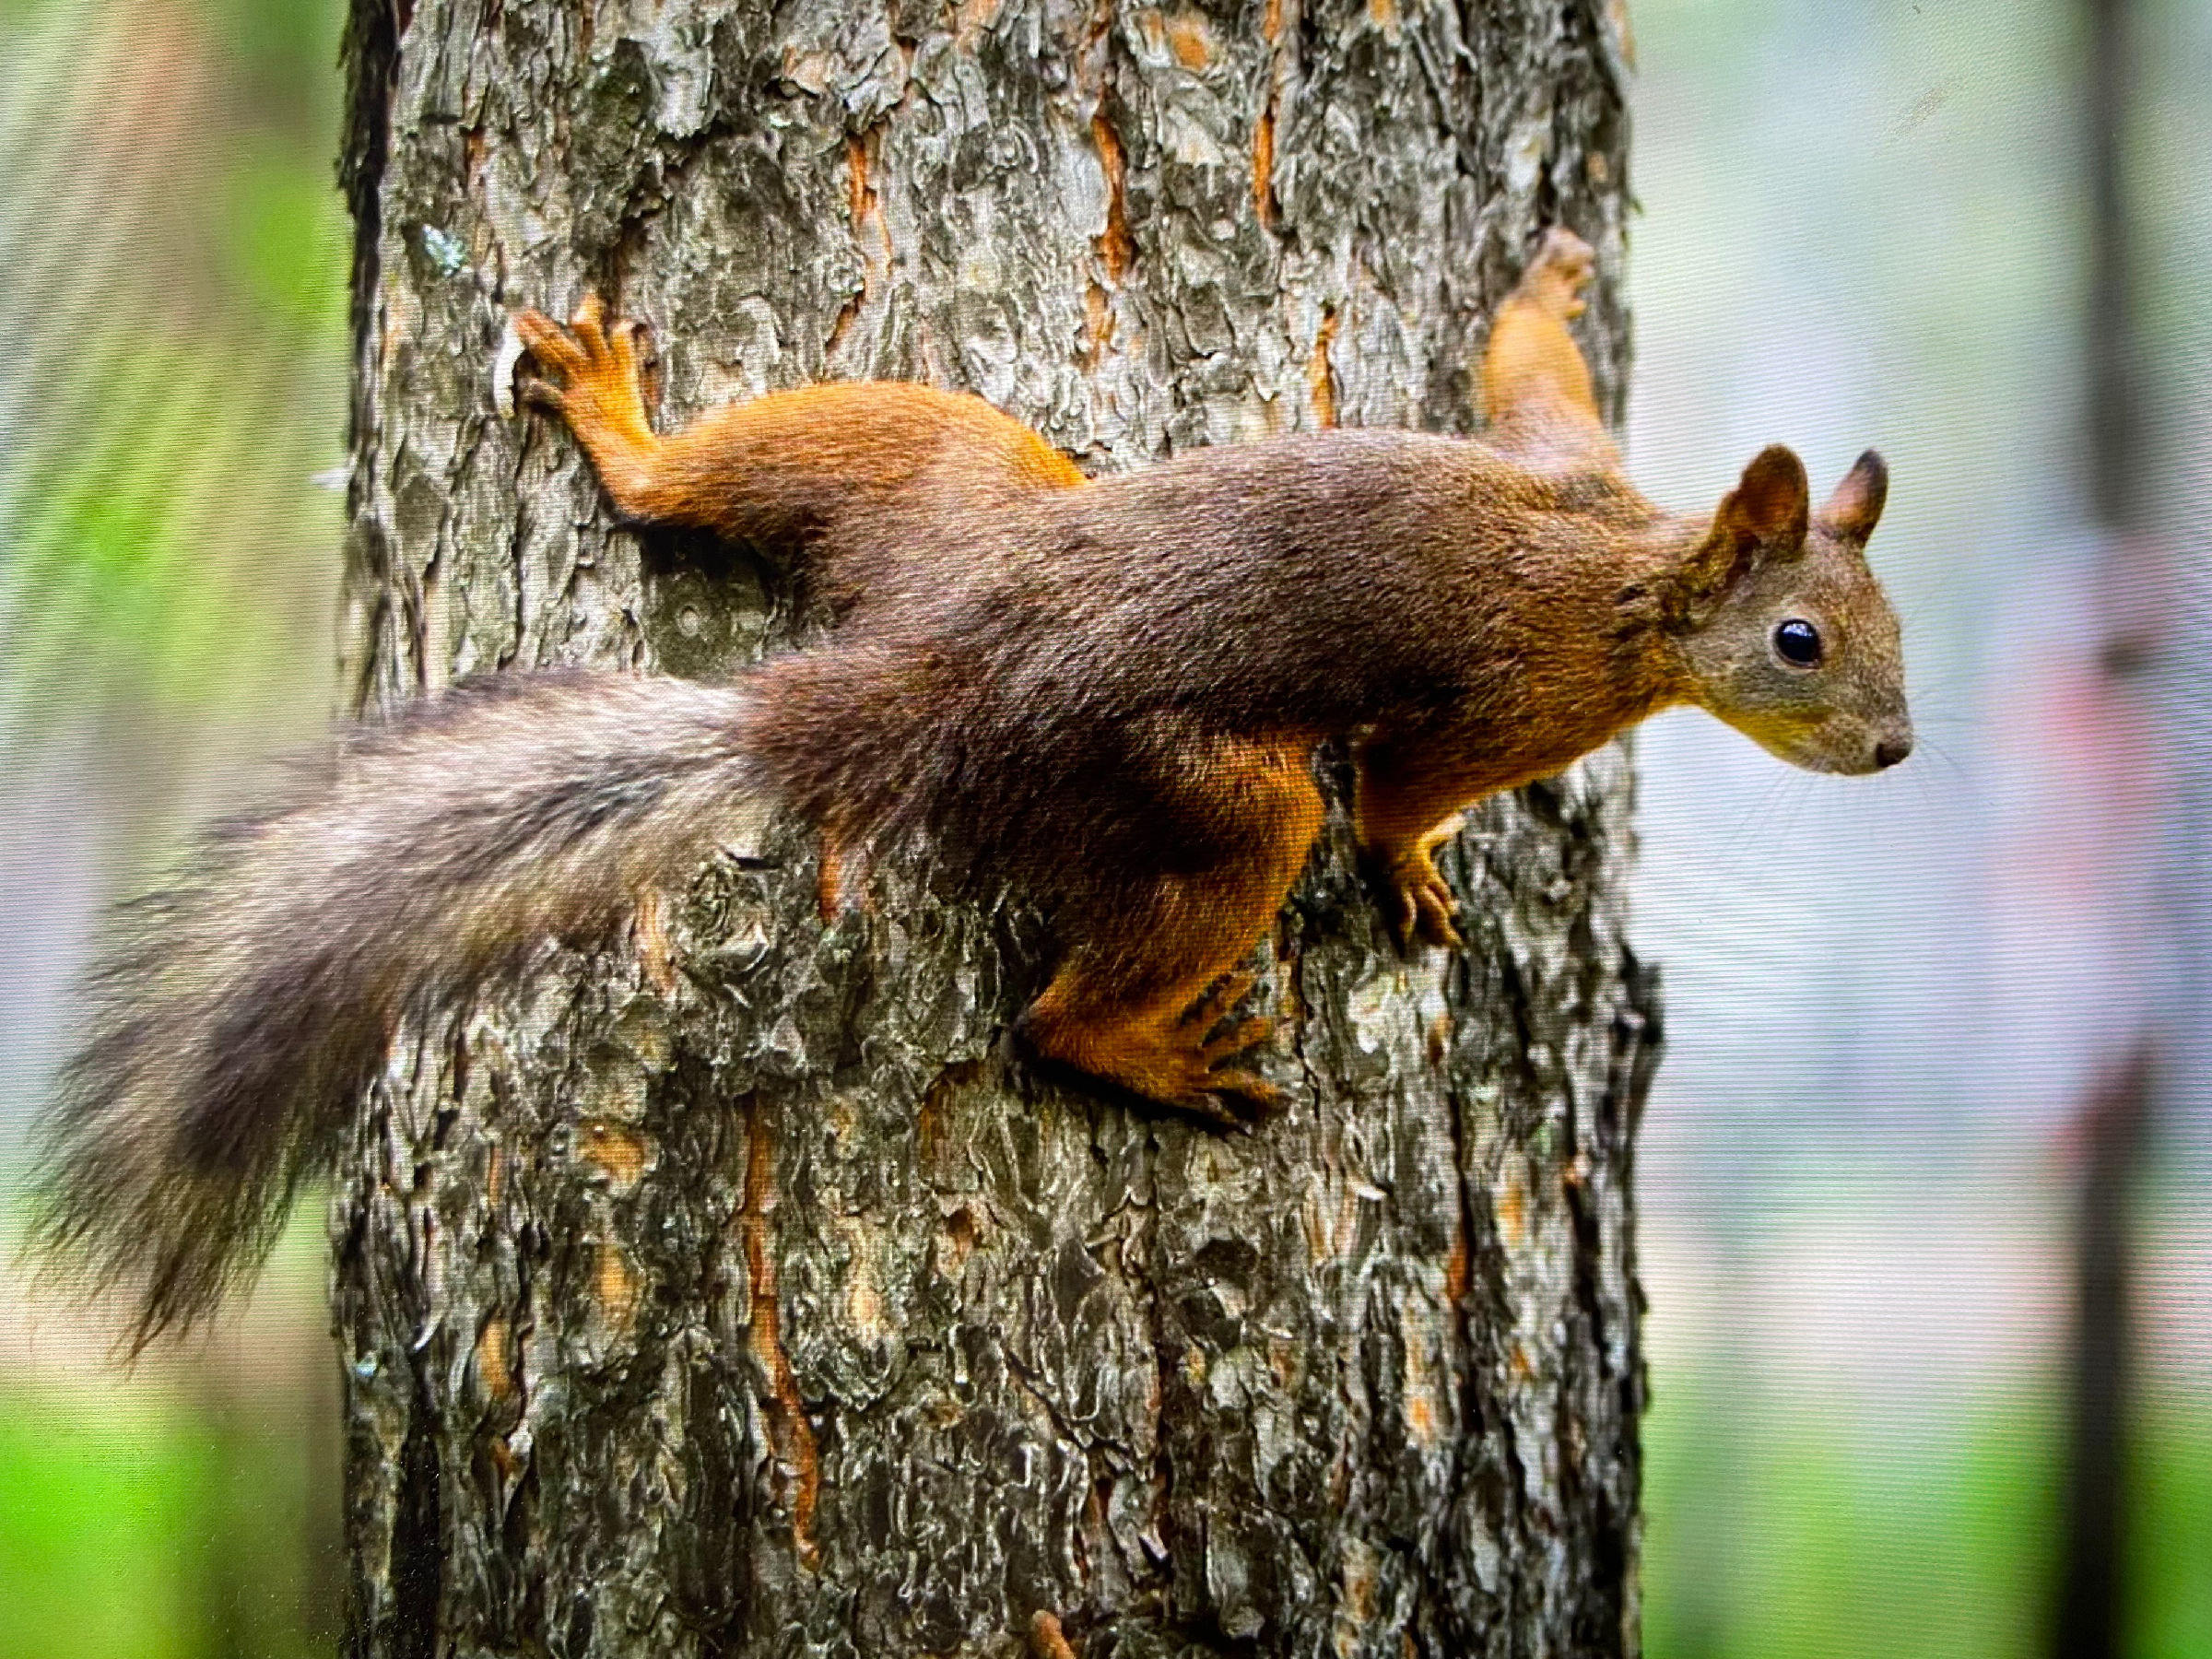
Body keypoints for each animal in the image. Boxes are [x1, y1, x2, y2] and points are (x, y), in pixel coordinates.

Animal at [34, 230, 1911, 1353]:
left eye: (1894, 625)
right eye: (1802, 641)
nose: (1896, 751)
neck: (1639, 575)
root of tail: (942, 657)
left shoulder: (1565, 457)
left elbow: (1529, 371)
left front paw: (1551, 275)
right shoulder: (1516, 691)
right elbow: (1398, 791)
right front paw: (1423, 869)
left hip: (938, 468)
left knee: (703, 483)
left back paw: (629, 431)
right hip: (1184, 784)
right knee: (1081, 998)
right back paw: (1151, 1049)